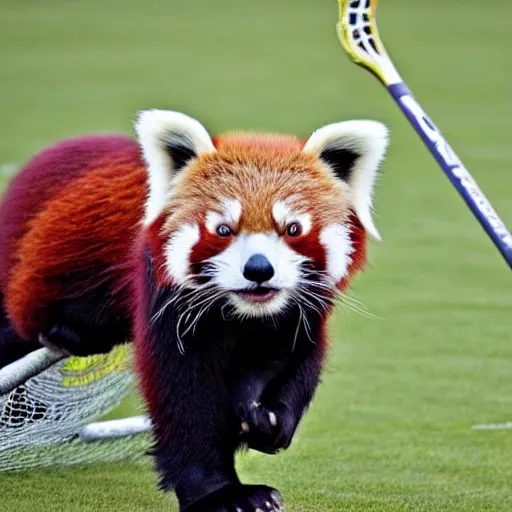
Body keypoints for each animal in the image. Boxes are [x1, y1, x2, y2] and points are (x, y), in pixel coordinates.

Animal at [0, 110, 388, 510]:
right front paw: (220, 492)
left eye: (293, 228)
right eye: (223, 229)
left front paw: (266, 417)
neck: (241, 311)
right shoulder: (165, 295)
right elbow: (184, 392)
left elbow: (291, 360)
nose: (259, 269)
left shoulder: (300, 310)